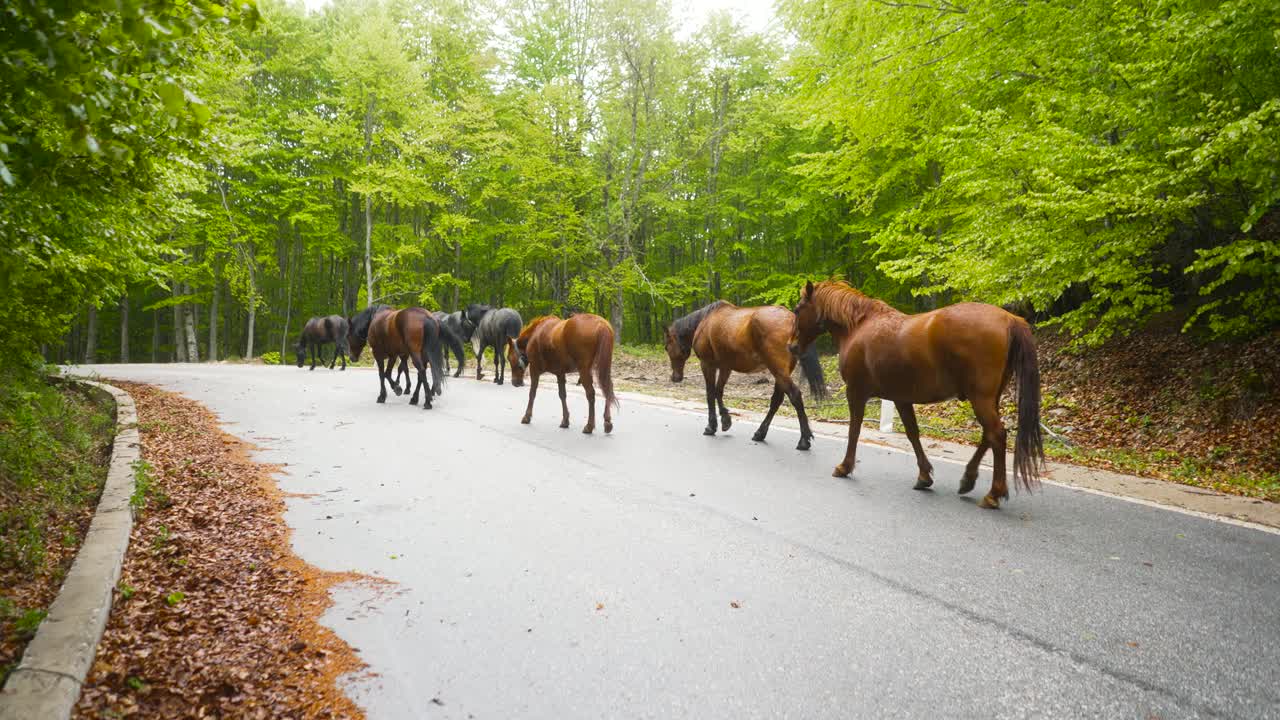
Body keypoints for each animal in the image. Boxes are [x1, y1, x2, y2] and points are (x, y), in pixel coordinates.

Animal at [665, 298, 824, 445]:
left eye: (667, 347)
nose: (675, 377)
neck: (704, 321)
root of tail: (792, 319)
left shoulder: (707, 364)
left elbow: (710, 394)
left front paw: (711, 426)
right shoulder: (725, 367)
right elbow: (718, 392)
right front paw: (725, 420)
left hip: (778, 370)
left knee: (794, 396)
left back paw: (803, 440)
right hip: (782, 372)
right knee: (776, 401)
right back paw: (760, 433)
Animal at [783, 278, 1044, 507]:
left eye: (797, 310)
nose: (791, 346)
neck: (858, 326)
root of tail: (1009, 318)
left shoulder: (856, 392)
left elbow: (854, 430)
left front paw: (845, 467)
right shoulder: (901, 398)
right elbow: (912, 433)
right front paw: (924, 476)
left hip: (981, 398)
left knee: (997, 435)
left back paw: (993, 494)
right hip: (989, 398)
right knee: (989, 436)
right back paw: (968, 479)